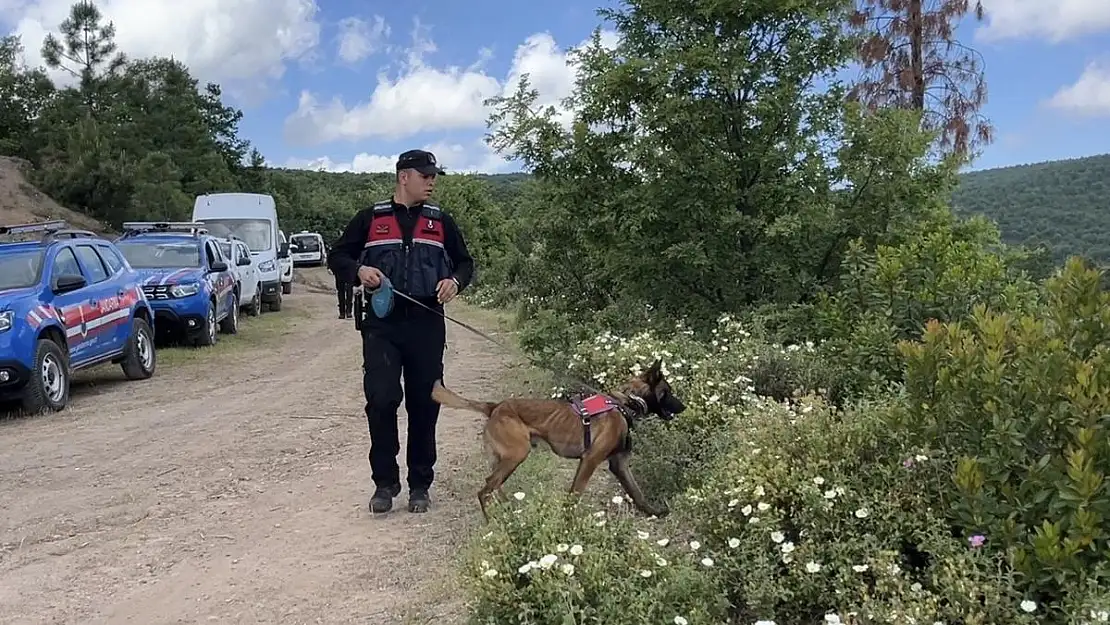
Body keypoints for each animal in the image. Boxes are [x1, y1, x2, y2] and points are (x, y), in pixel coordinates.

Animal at [426, 359, 679, 521]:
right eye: (667, 392)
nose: (684, 407)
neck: (626, 402)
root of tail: (495, 406)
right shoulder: (590, 460)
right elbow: (575, 494)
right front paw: (568, 522)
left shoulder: (619, 464)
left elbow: (637, 492)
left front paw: (654, 512)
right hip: (517, 453)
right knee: (485, 489)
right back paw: (494, 522)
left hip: (505, 458)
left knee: (495, 485)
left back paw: (509, 513)